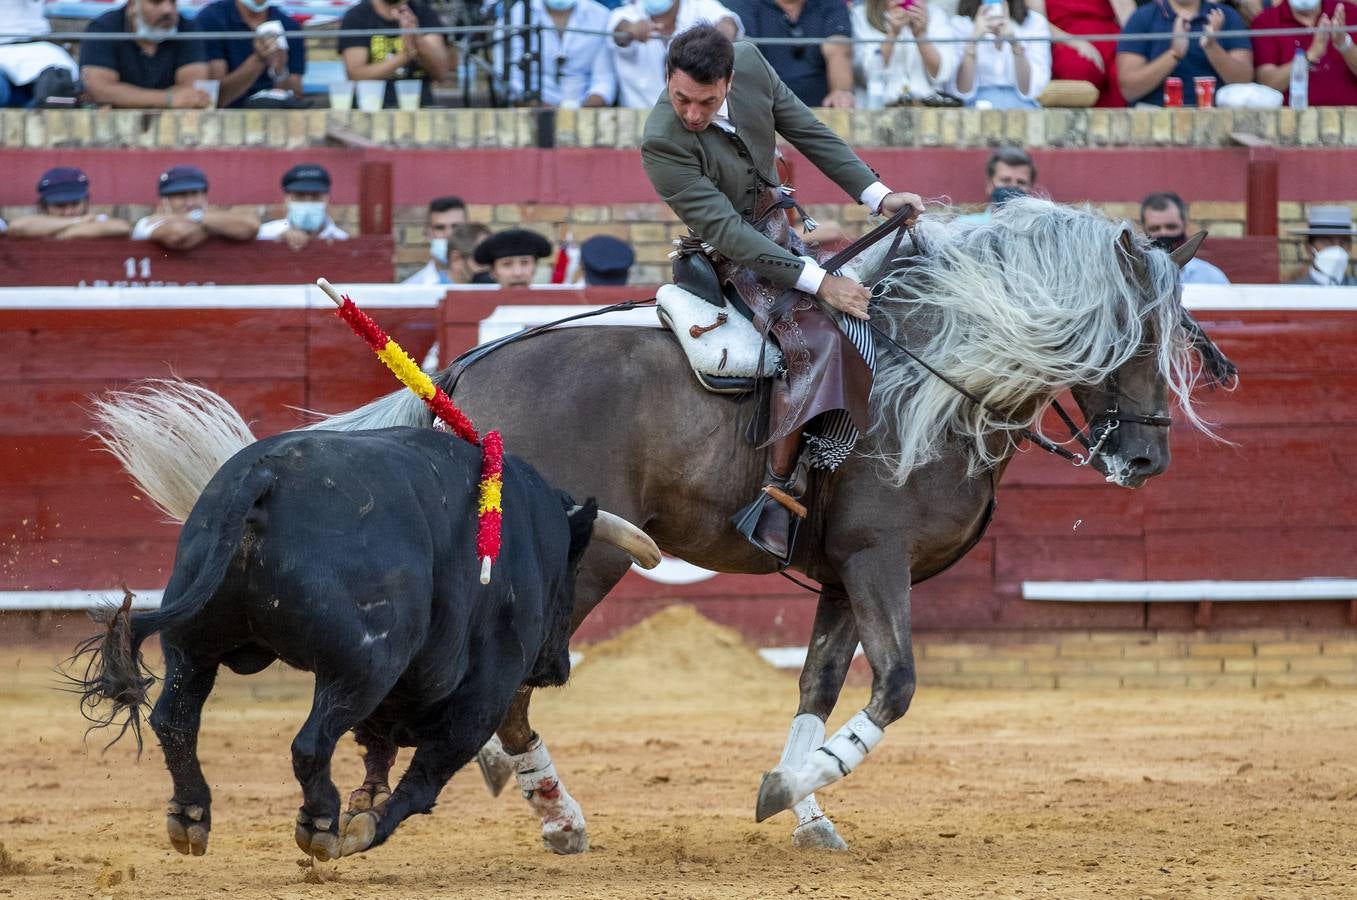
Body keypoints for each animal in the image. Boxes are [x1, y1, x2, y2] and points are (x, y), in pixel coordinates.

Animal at [71, 426, 659, 863]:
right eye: (572, 571)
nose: (557, 666)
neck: (530, 531)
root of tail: (265, 474)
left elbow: (378, 748)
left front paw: (365, 802)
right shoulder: (483, 694)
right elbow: (425, 777)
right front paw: (364, 826)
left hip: (194, 645)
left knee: (175, 720)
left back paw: (190, 815)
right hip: (364, 661)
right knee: (311, 743)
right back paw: (320, 821)